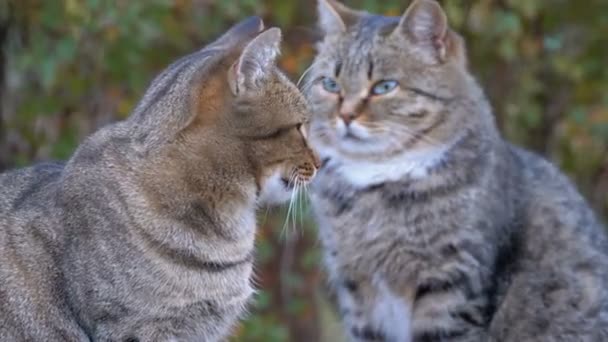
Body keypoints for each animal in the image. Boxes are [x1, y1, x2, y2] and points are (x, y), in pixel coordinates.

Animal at [304, 0, 608, 340]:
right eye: (330, 84)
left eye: (384, 86)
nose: (344, 116)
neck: (375, 184)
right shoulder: (357, 289)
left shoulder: (451, 285)